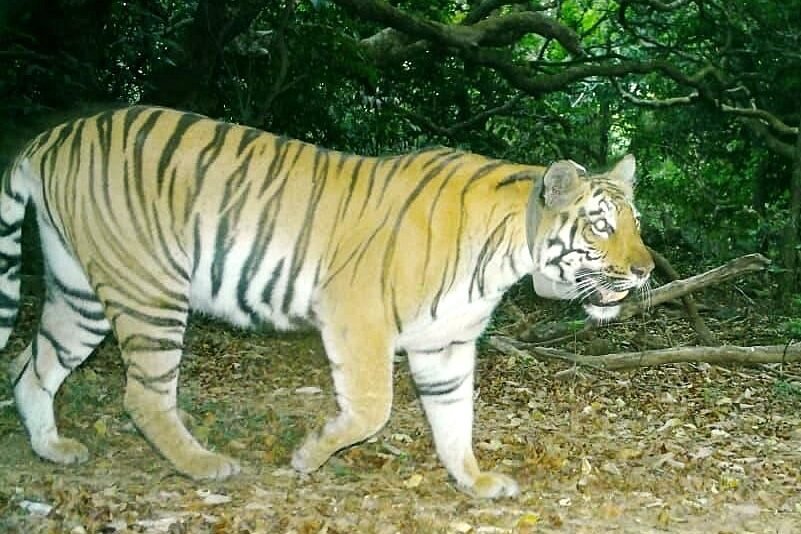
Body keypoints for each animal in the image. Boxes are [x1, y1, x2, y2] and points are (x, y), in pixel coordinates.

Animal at [0, 106, 653, 499]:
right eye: (600, 225)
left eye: (636, 224)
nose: (646, 269)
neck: (507, 254)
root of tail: (53, 135)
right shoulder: (356, 315)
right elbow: (371, 410)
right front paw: (309, 456)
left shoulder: (445, 343)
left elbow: (454, 419)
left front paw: (473, 481)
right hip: (149, 288)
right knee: (141, 394)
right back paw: (204, 464)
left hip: (81, 292)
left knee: (31, 368)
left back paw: (53, 448)